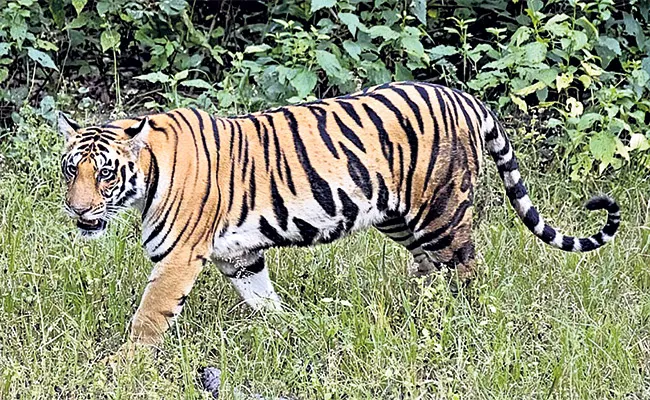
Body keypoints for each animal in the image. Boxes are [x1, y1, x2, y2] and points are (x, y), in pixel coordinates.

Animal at [59, 81, 616, 346]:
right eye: (70, 170)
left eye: (104, 174)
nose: (77, 209)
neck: (148, 174)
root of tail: (462, 95)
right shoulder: (239, 255)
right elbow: (262, 299)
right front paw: (286, 331)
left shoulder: (177, 258)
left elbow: (149, 317)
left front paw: (124, 368)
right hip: (401, 218)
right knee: (429, 269)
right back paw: (415, 310)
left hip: (441, 213)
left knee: (467, 271)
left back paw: (463, 322)